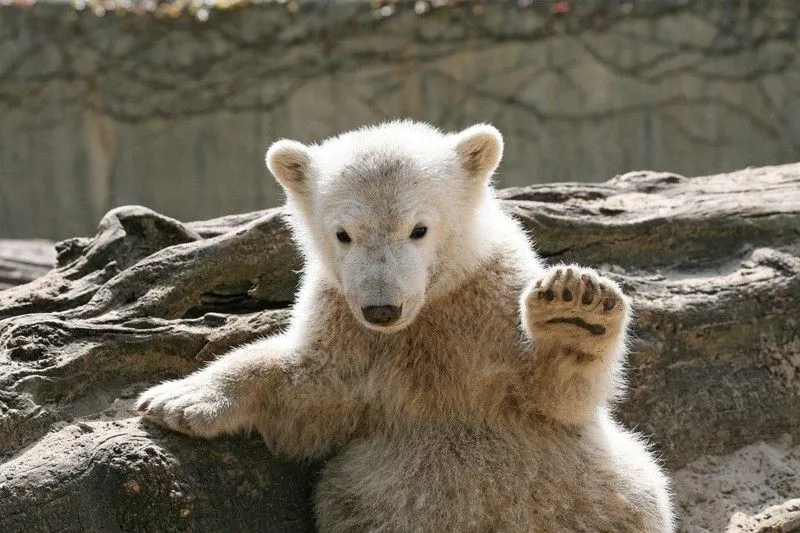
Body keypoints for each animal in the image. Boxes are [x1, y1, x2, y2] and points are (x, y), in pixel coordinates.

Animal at [138, 121, 676, 532]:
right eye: (343, 234)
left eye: (418, 229)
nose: (382, 309)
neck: (425, 314)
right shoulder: (345, 321)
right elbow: (310, 385)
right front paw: (180, 400)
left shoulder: (492, 297)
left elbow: (554, 397)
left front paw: (574, 311)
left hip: (593, 487)